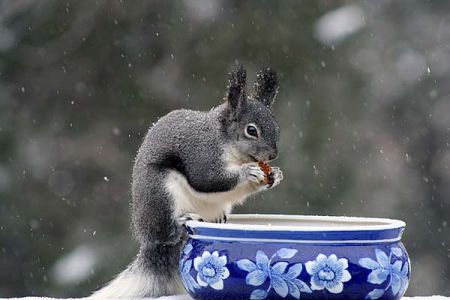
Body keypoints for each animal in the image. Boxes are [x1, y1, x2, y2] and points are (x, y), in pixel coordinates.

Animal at [91, 65, 284, 298]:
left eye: (277, 127)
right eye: (251, 130)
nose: (273, 155)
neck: (232, 150)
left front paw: (274, 175)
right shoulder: (201, 154)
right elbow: (208, 179)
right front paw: (247, 172)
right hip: (162, 193)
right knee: (168, 233)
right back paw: (184, 221)